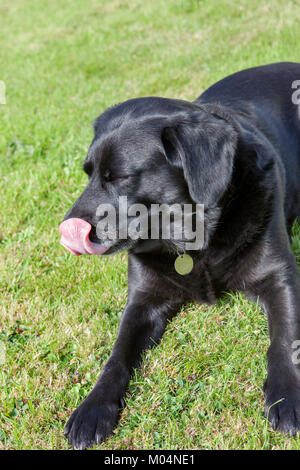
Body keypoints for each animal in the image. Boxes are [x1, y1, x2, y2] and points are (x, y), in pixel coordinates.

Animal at [59, 62, 300, 448]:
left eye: (120, 177)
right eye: (89, 174)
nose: (66, 229)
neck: (194, 241)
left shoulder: (279, 279)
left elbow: (283, 341)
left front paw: (287, 395)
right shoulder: (142, 300)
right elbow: (116, 356)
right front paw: (92, 408)